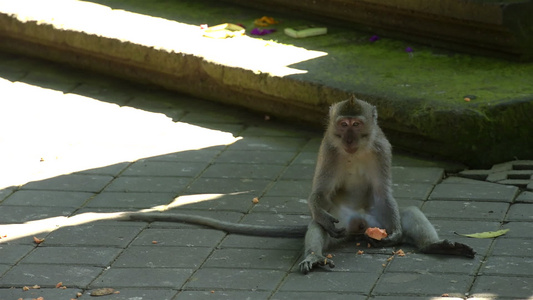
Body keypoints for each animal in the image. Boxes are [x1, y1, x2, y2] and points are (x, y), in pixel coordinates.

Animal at [116, 95, 474, 274]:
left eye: (356, 125)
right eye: (342, 124)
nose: (347, 137)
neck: (353, 150)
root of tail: (359, 226)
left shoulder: (382, 148)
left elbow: (385, 193)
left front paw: (399, 233)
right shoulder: (329, 149)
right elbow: (318, 195)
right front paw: (319, 224)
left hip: (374, 220)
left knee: (407, 211)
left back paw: (434, 246)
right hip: (343, 222)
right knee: (320, 225)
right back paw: (314, 256)